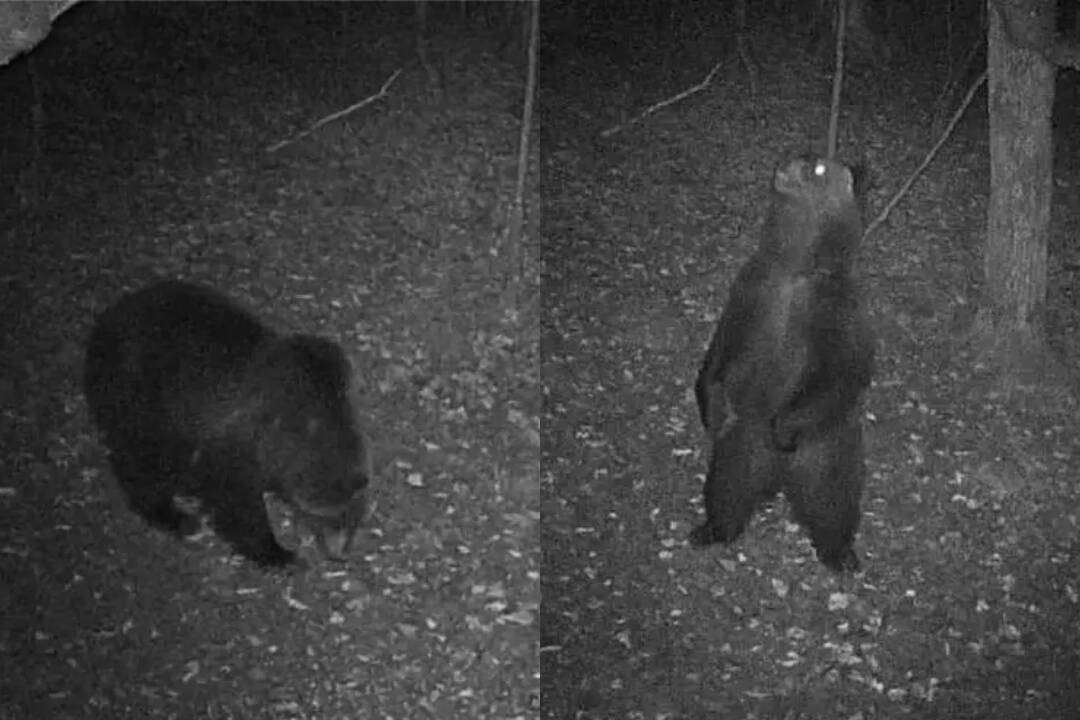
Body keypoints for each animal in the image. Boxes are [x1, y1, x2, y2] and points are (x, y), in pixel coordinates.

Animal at [84, 280, 371, 569]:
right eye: (335, 521)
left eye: (354, 523)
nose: (341, 554)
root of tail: (103, 325)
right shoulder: (235, 444)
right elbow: (237, 503)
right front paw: (278, 552)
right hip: (139, 401)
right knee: (144, 462)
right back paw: (174, 516)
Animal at [691, 156, 876, 574]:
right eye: (804, 157)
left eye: (819, 169)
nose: (787, 165)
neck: (797, 268)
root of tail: (780, 476)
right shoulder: (755, 290)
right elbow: (722, 346)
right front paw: (712, 408)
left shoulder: (837, 312)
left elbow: (843, 372)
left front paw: (785, 427)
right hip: (743, 443)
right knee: (727, 486)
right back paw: (713, 528)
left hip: (826, 453)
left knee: (833, 504)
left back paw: (841, 552)